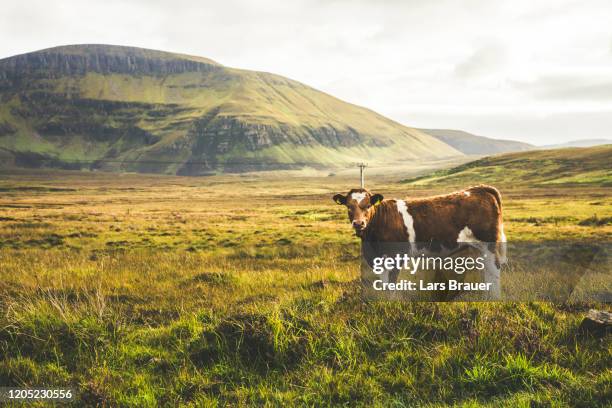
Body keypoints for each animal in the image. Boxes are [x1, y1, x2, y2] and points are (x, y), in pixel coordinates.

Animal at [334, 186, 506, 298]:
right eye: (349, 206)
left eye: (368, 205)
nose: (358, 223)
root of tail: (479, 189)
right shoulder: (377, 260)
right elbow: (384, 283)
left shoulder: (396, 256)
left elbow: (391, 285)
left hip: (488, 243)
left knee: (494, 269)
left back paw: (493, 298)